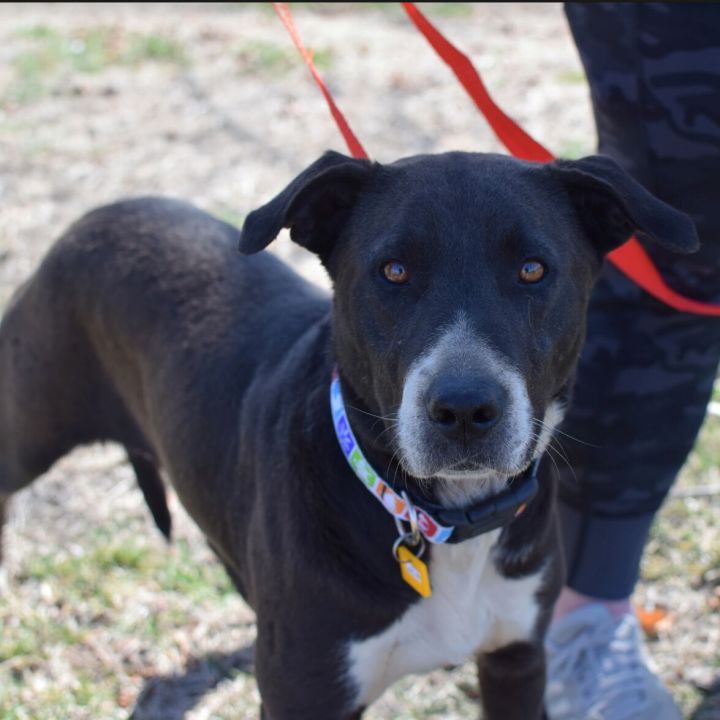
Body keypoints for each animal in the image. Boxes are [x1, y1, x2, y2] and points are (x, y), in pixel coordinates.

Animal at [0, 149, 696, 716]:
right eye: (393, 271)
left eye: (532, 270)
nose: (464, 409)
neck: (444, 521)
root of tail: (98, 214)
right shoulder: (305, 698)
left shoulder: (517, 660)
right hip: (28, 431)